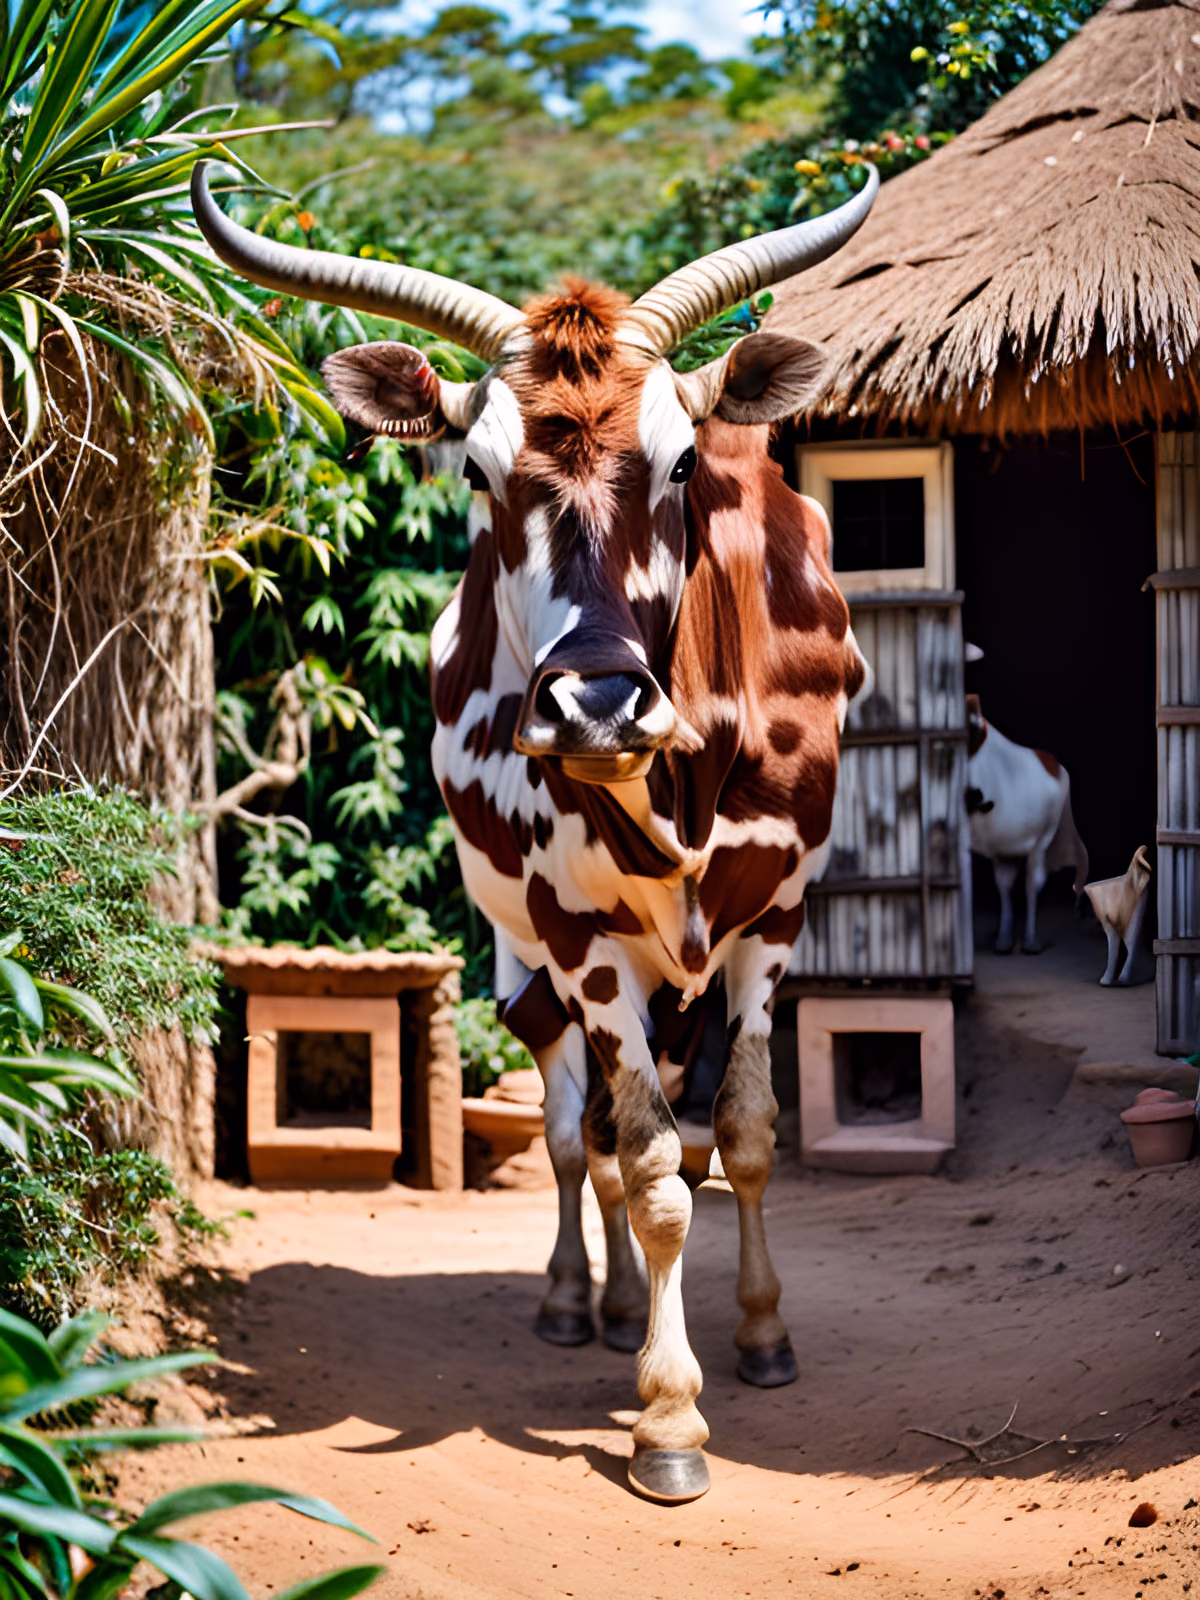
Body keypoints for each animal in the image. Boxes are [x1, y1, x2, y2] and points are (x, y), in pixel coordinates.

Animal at [193, 162, 877, 1504]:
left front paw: (762, 1333)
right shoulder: (580, 931)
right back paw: (584, 1301)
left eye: (681, 463)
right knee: (578, 1135)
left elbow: (745, 1133)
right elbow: (649, 1167)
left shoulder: (776, 914)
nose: (596, 701)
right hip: (533, 958)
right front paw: (667, 1416)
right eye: (475, 473)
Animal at [966, 694, 1089, 955]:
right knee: (1006, 884)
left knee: (1032, 883)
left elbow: (1032, 884)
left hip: (1042, 838)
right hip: (1007, 849)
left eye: (975, 733)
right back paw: (1003, 940)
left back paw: (1029, 942)